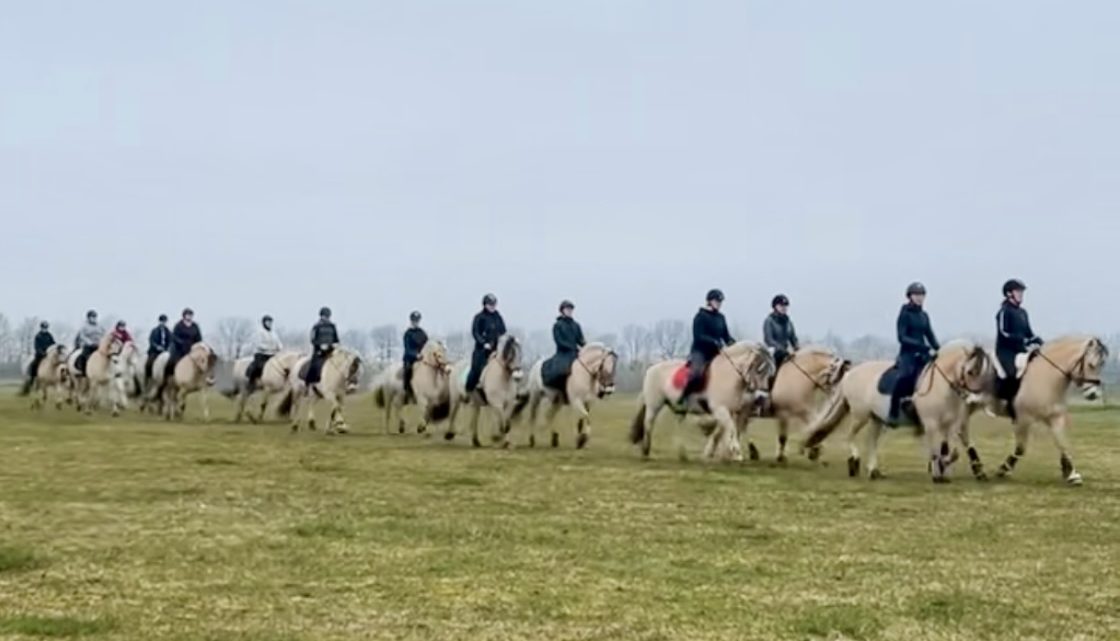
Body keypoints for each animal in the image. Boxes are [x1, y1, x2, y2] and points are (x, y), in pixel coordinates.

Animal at [631, 342, 779, 463]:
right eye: (759, 370)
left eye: (771, 372)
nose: (762, 397)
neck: (729, 375)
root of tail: (651, 368)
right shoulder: (721, 409)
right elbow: (730, 429)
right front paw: (735, 453)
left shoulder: (735, 411)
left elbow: (732, 430)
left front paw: (729, 453)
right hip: (654, 405)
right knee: (648, 423)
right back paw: (645, 451)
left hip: (677, 408)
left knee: (676, 425)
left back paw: (682, 454)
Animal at [801, 340, 994, 479]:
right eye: (970, 372)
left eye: (982, 371)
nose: (975, 396)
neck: (942, 384)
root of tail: (850, 373)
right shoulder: (931, 424)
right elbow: (936, 450)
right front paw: (938, 472)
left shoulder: (948, 425)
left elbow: (951, 451)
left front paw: (945, 468)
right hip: (860, 416)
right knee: (850, 436)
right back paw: (854, 462)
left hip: (876, 419)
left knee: (871, 441)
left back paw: (874, 471)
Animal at [994, 336, 1106, 486]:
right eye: (1091, 364)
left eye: (1101, 364)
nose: (1093, 394)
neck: (1045, 378)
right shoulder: (1023, 420)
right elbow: (1020, 448)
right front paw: (1004, 469)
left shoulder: (1055, 417)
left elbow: (1062, 444)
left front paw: (1071, 474)